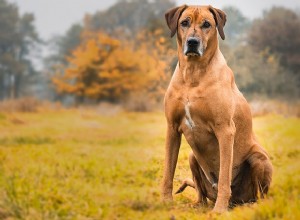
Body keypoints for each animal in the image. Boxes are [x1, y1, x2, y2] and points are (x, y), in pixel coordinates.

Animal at [161, 4, 274, 212]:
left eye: (207, 24)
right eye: (184, 22)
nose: (192, 42)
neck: (193, 74)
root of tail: (237, 201)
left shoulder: (225, 130)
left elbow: (223, 177)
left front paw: (220, 210)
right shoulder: (172, 128)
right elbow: (168, 172)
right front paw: (165, 203)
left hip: (258, 158)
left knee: (259, 195)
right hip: (192, 157)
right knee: (201, 193)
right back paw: (197, 204)